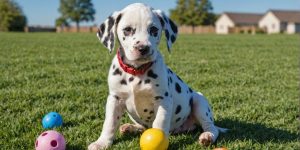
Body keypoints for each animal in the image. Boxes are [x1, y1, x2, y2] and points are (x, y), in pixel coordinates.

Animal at [88, 2, 226, 149]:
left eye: (153, 29)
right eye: (127, 29)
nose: (143, 48)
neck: (136, 72)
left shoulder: (163, 100)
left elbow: (159, 123)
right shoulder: (115, 99)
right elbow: (110, 123)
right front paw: (102, 142)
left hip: (199, 101)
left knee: (211, 126)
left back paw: (207, 136)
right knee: (142, 127)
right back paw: (130, 127)